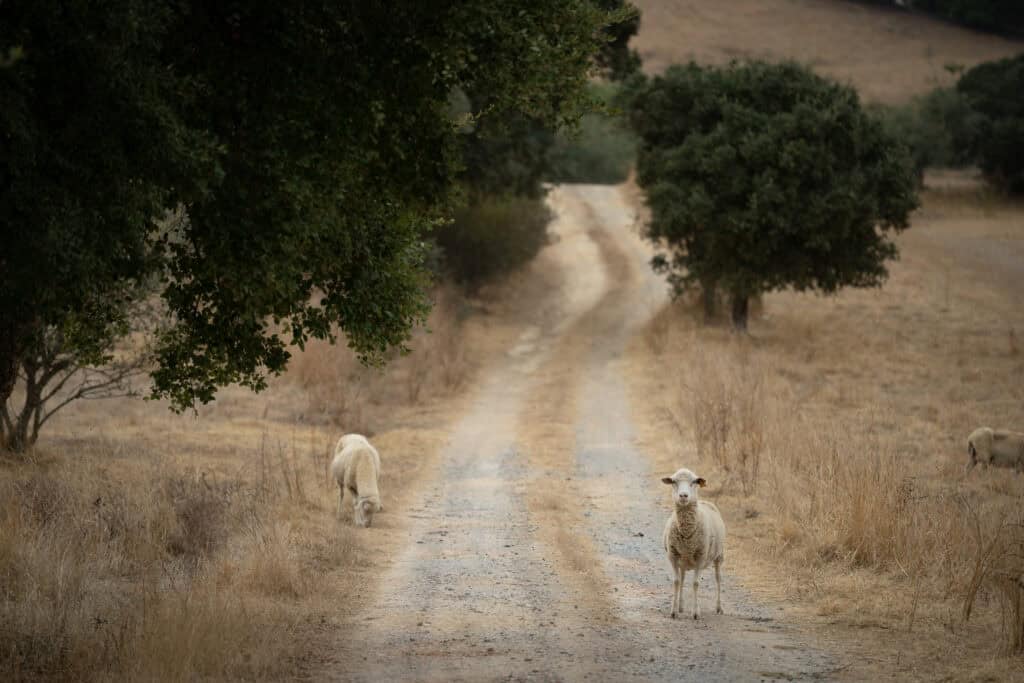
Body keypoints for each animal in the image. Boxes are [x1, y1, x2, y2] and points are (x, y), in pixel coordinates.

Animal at [661, 468, 726, 619]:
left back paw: (719, 607)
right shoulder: (673, 556)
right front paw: (673, 611)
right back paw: (680, 606)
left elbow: (696, 583)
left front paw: (696, 612)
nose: (683, 495)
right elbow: (676, 582)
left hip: (719, 556)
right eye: (674, 482)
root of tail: (705, 502)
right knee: (683, 579)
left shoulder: (700, 557)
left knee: (718, 579)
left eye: (694, 482)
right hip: (683, 560)